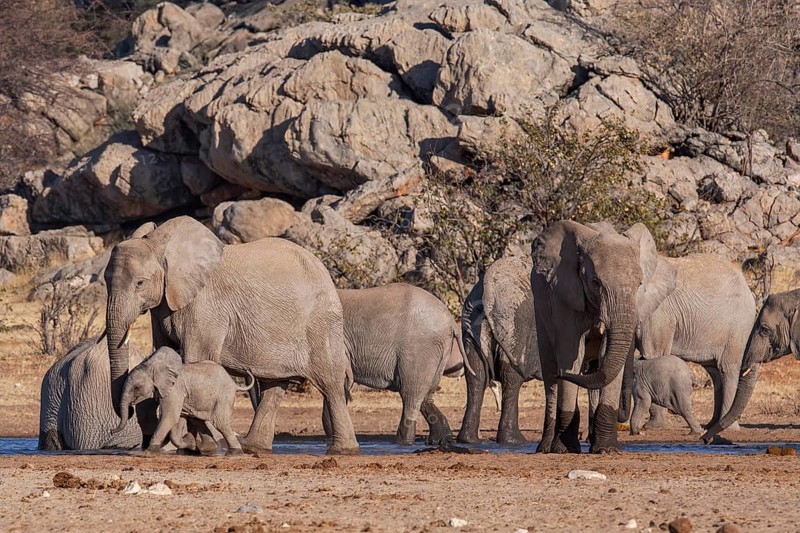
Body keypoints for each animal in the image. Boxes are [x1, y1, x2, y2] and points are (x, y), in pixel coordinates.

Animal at [114, 347, 254, 455]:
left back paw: (234, 453)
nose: (111, 431)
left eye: (137, 387)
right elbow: (176, 420)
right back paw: (207, 448)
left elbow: (170, 416)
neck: (153, 367)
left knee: (220, 422)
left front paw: (149, 452)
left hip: (223, 396)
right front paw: (190, 444)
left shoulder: (174, 390)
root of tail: (233, 383)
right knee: (198, 419)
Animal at [320, 284, 469, 445]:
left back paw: (403, 442)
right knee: (426, 395)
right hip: (439, 350)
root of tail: (451, 321)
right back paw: (442, 441)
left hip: (419, 348)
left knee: (410, 394)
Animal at [457, 256, 542, 445]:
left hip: (472, 321)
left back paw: (469, 440)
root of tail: (489, 289)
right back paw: (514, 440)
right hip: (514, 322)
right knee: (511, 376)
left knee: (476, 374)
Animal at [530, 221, 677, 454]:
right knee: (551, 373)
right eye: (595, 282)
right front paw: (564, 449)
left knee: (594, 370)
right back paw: (546, 448)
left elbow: (607, 358)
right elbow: (570, 354)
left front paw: (607, 449)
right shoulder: (563, 296)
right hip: (540, 311)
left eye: (639, 284)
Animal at [636, 254, 755, 432]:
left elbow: (653, 355)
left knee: (728, 369)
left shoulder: (658, 314)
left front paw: (653, 427)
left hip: (737, 328)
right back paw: (712, 425)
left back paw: (727, 428)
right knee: (715, 372)